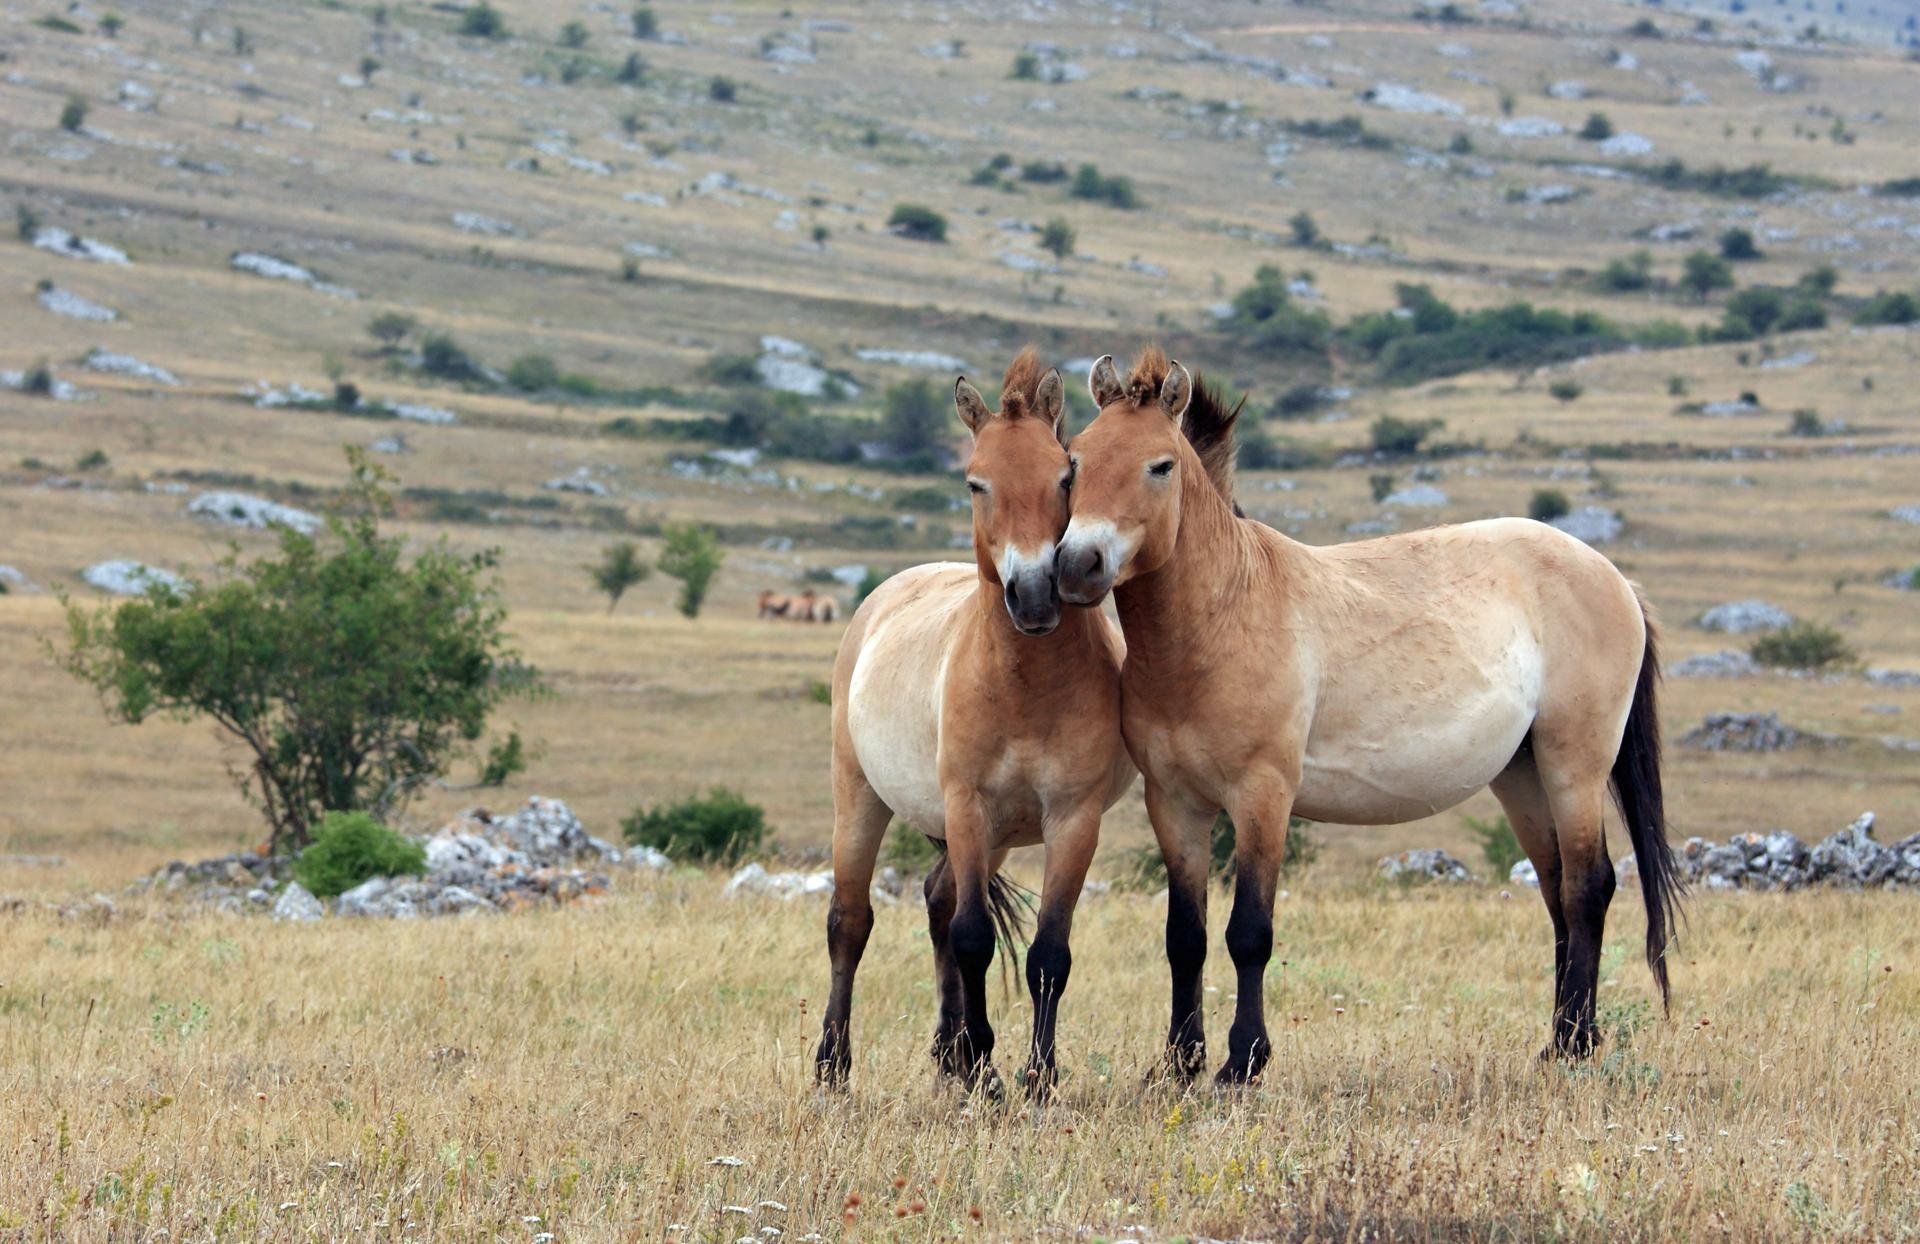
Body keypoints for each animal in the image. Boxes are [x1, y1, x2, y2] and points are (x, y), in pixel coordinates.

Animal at [814, 349, 1136, 1098]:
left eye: (1065, 474)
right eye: (975, 482)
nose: (1036, 593)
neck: (1023, 687)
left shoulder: (1071, 819)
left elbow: (1048, 951)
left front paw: (1034, 1076)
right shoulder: (967, 805)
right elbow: (973, 938)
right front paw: (986, 1062)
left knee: (938, 900)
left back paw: (949, 1056)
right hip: (861, 796)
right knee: (852, 921)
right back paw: (833, 1067)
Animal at [1052, 347, 1681, 1075]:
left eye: (1161, 465)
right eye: (1075, 460)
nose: (1077, 565)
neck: (1223, 616)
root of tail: (1614, 577)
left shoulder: (1263, 797)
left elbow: (1248, 934)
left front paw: (1242, 1063)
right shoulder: (1175, 803)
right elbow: (1186, 937)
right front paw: (1181, 1064)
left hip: (1572, 766)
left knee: (1589, 887)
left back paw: (1576, 1043)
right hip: (1521, 776)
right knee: (1558, 893)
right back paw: (1558, 1041)